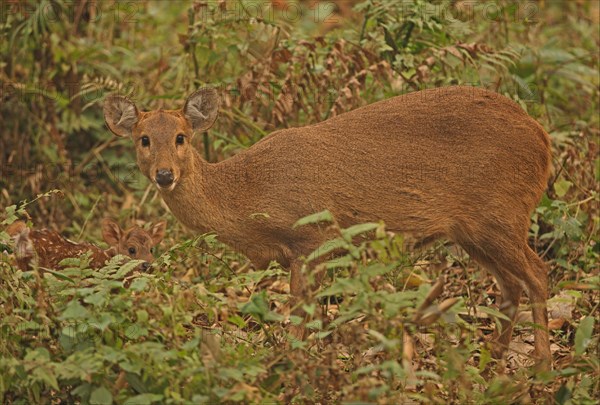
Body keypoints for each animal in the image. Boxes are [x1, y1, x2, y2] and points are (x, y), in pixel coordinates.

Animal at [104, 86, 552, 370]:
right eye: (144, 139)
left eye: (181, 137)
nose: (165, 175)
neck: (248, 195)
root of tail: (542, 138)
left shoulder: (311, 240)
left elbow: (301, 320)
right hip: (474, 231)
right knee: (511, 287)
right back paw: (493, 365)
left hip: (501, 214)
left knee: (537, 275)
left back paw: (541, 369)